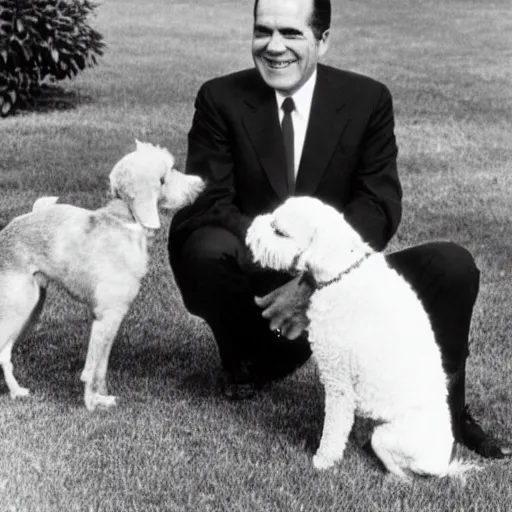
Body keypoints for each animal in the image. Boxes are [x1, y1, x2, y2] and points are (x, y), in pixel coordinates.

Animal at [0, 141, 204, 412]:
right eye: (165, 176)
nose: (200, 182)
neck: (124, 220)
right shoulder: (107, 316)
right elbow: (92, 369)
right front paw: (91, 403)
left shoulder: (109, 321)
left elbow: (102, 367)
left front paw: (102, 396)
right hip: (18, 307)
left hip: (30, 310)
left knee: (6, 353)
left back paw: (16, 391)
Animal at [246, 197, 478, 480]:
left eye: (279, 232)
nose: (249, 230)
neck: (341, 272)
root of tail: (442, 464)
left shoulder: (337, 377)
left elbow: (335, 427)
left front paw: (323, 461)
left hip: (386, 437)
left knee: (402, 472)